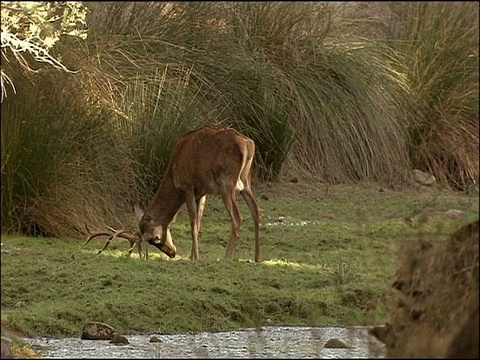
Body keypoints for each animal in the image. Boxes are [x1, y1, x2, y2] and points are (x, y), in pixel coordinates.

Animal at [135, 125, 262, 260]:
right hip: (246, 181)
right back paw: (257, 257)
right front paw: (192, 256)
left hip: (226, 182)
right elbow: (198, 221)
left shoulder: (187, 186)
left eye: (155, 239)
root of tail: (248, 144)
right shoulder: (201, 192)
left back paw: (228, 256)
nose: (172, 253)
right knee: (256, 209)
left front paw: (195, 257)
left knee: (237, 217)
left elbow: (193, 222)